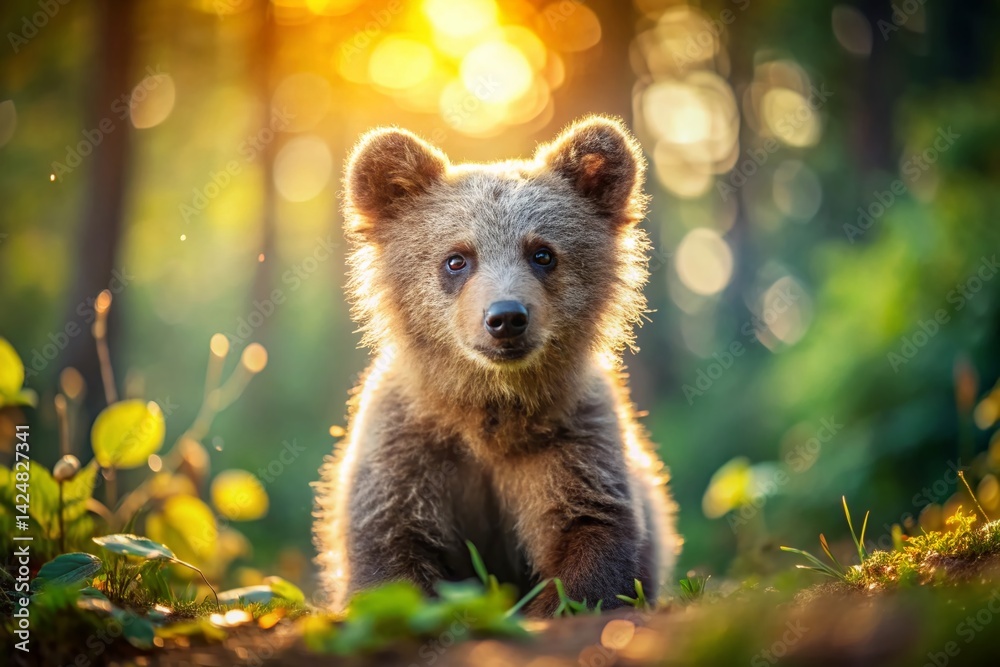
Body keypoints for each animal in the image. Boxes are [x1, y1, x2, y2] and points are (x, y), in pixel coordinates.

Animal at [312, 115, 680, 616]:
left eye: (543, 252)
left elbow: (591, 532)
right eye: (456, 258)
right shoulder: (408, 448)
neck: (491, 407)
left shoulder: (571, 440)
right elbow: (389, 543)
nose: (506, 317)